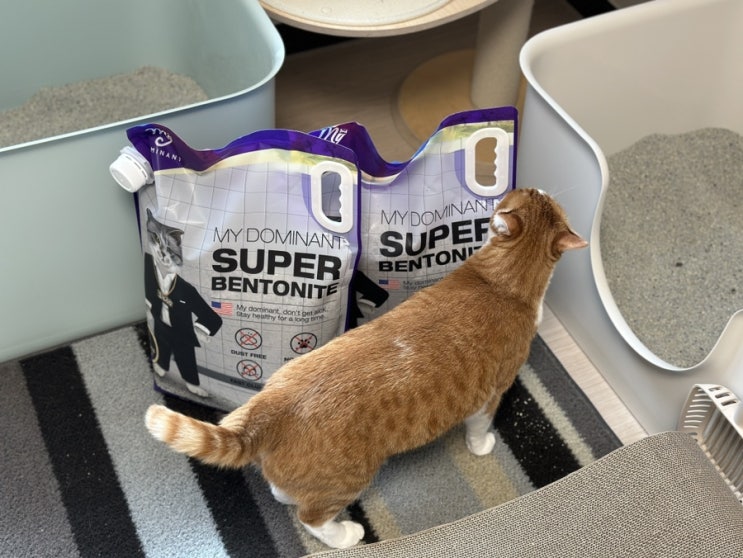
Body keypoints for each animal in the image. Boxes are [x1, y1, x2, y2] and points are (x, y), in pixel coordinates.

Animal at [144, 208, 222, 398]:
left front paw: (200, 333)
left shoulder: (192, 294)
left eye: (170, 250)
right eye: (155, 238)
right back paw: (160, 369)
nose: (163, 254)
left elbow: (210, 317)